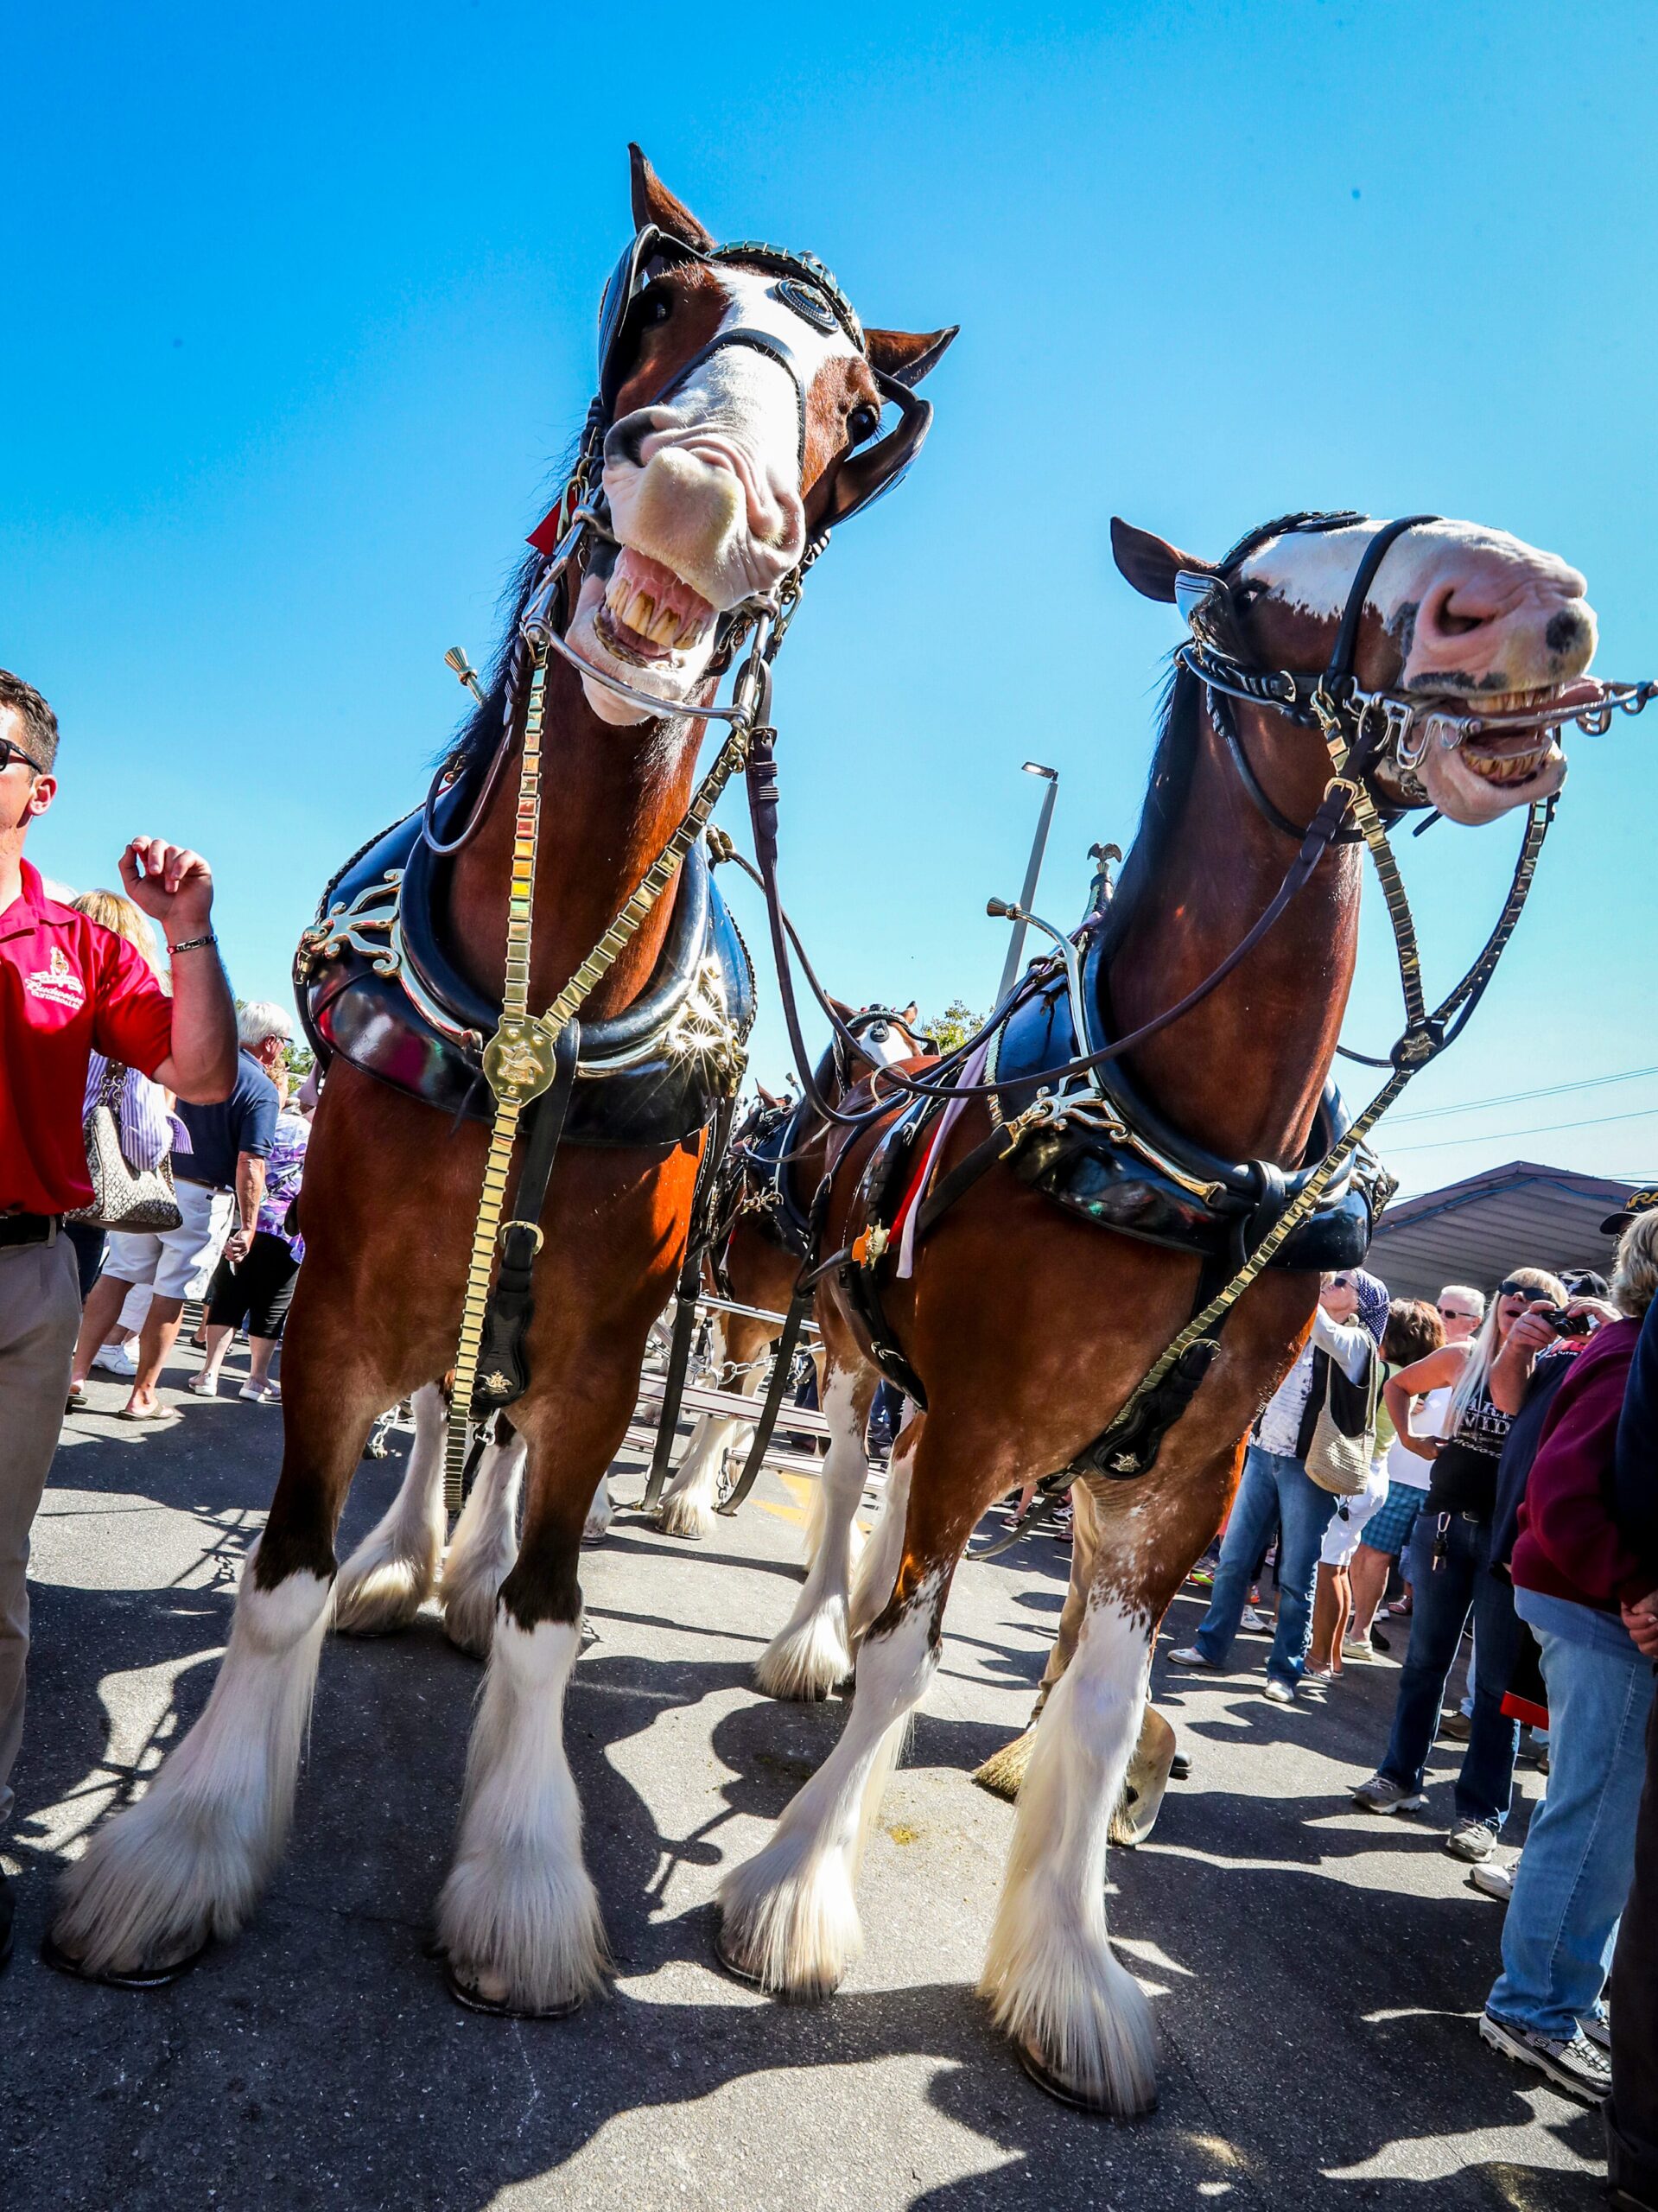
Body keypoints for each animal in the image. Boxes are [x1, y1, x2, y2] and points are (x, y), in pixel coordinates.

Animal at [52, 147, 955, 2017]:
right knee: (440, 1416)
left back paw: (458, 1572)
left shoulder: (616, 1332)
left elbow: (550, 1596)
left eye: (849, 408)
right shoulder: (333, 1286)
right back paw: (414, 1559)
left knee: (507, 1435)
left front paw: (525, 1867)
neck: (547, 997)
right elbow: (284, 1567)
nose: (698, 500)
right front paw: (191, 1834)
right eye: (658, 306)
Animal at [721, 502, 1600, 2106]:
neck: (1187, 1142)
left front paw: (1064, 1969)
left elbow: (1098, 1699)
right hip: (848, 1348)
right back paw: (812, 1631)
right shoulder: (982, 1422)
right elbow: (903, 1661)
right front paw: (798, 1890)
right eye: (1248, 593)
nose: (1530, 603)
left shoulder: (1180, 1476)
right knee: (846, 1503)